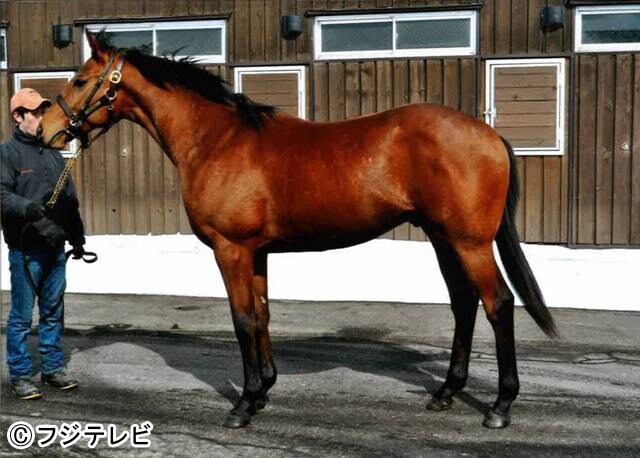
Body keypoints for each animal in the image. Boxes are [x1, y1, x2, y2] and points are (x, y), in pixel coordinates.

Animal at [41, 31, 557, 430]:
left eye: (81, 80)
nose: (46, 128)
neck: (218, 140)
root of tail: (488, 134)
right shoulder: (258, 252)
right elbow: (263, 315)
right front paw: (264, 391)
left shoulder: (231, 249)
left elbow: (242, 320)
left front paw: (243, 405)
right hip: (442, 237)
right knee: (463, 303)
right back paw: (447, 392)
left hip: (470, 242)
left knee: (497, 304)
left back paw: (499, 406)